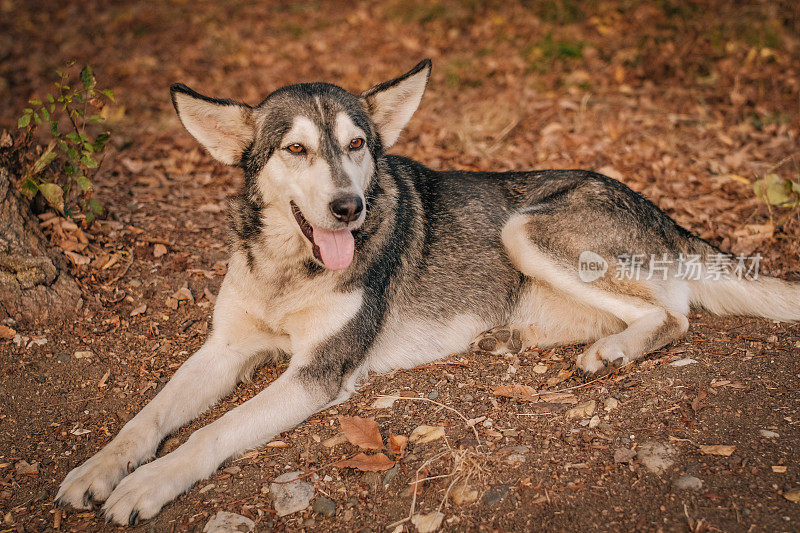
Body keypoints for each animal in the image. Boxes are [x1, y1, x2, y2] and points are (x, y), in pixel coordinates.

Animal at [57, 59, 800, 524]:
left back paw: (614, 351)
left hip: (525, 229)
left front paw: (147, 484)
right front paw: (99, 469)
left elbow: (210, 432)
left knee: (673, 314)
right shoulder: (224, 348)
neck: (288, 270)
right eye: (295, 150)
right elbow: (147, 417)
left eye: (358, 144)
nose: (349, 207)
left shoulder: (316, 374)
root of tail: (660, 210)